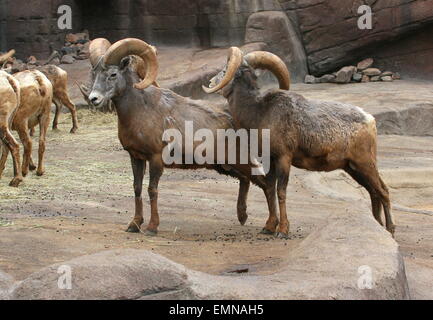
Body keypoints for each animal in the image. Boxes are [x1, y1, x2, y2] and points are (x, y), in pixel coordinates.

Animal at [202, 47, 394, 238]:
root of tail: (370, 120)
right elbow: (270, 190)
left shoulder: (284, 158)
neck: (259, 112)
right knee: (373, 192)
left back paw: (390, 231)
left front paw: (283, 230)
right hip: (353, 168)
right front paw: (268, 227)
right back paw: (379, 228)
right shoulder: (269, 160)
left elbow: (281, 192)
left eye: (225, 70)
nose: (210, 82)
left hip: (364, 164)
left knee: (383, 191)